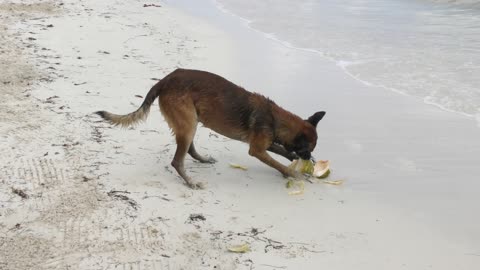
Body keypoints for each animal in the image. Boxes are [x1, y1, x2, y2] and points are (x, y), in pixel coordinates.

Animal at [95, 68, 324, 189]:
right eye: (308, 148)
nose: (309, 158)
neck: (275, 118)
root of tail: (167, 79)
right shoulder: (257, 149)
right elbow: (277, 163)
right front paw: (292, 173)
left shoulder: (264, 143)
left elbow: (282, 152)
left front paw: (292, 162)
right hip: (188, 123)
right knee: (177, 160)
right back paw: (190, 181)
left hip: (191, 122)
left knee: (188, 149)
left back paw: (202, 160)